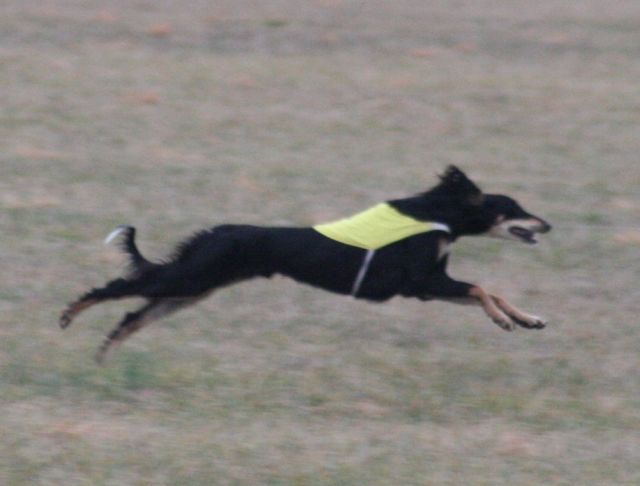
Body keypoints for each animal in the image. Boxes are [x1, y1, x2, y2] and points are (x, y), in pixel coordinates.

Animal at [58, 167, 552, 360]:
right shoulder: (419, 282)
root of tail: (216, 231)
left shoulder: (431, 283)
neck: (439, 213)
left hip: (191, 290)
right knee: (114, 289)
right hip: (189, 278)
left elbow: (490, 290)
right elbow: (481, 288)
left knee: (131, 316)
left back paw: (104, 353)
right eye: (514, 207)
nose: (547, 224)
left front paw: (526, 319)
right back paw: (69, 314)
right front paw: (505, 320)